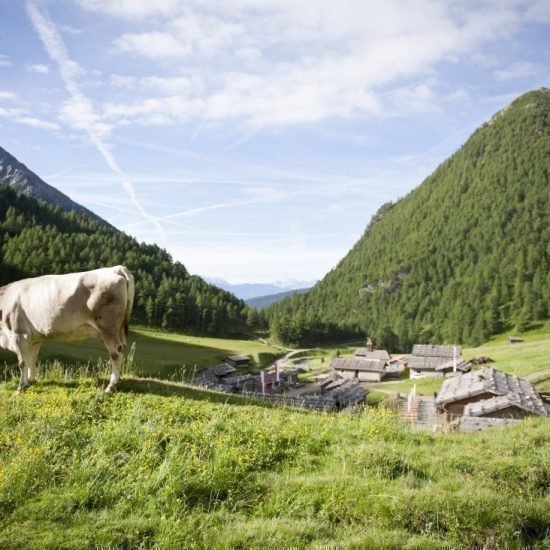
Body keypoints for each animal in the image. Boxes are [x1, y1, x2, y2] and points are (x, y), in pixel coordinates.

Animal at [0, 266, 135, 392]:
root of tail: (115, 269)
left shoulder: (19, 334)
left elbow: (22, 362)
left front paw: (21, 386)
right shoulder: (34, 338)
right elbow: (32, 359)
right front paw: (31, 381)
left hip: (108, 327)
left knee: (116, 353)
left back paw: (111, 386)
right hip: (119, 329)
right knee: (121, 349)